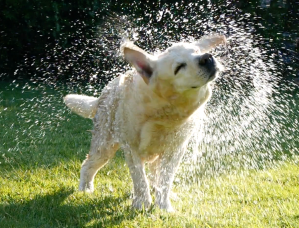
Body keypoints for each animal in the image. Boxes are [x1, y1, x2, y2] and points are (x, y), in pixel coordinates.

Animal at [64, 34, 226, 212]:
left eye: (196, 51)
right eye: (179, 67)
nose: (207, 58)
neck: (164, 110)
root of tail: (104, 92)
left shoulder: (175, 149)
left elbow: (165, 179)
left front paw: (163, 206)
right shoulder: (131, 148)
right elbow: (139, 179)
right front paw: (141, 204)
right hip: (104, 145)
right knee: (88, 164)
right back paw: (85, 189)